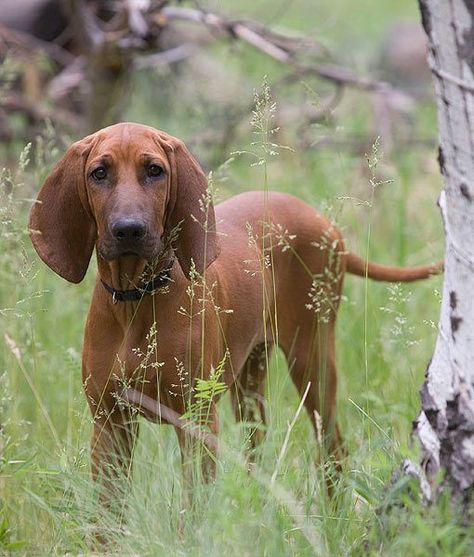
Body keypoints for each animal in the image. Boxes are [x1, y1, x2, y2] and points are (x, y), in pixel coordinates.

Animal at [27, 120, 438, 490]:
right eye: (99, 173)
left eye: (154, 170)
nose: (129, 230)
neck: (137, 299)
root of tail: (327, 225)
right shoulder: (110, 423)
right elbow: (108, 515)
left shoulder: (197, 420)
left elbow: (193, 507)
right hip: (249, 378)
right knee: (258, 445)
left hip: (313, 362)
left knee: (333, 449)